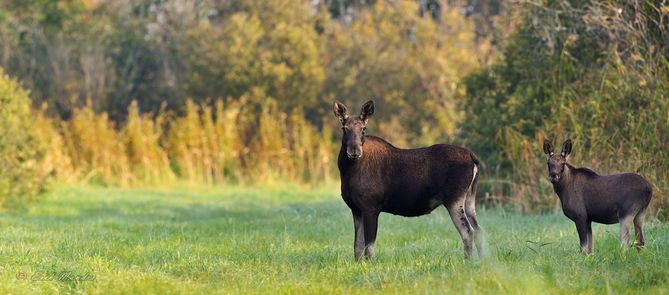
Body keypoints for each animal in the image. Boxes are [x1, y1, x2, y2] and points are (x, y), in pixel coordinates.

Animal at [332, 100, 480, 260]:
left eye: (363, 129)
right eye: (344, 129)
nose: (354, 151)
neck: (346, 171)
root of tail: (473, 157)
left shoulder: (371, 207)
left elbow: (369, 247)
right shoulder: (356, 209)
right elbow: (357, 247)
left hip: (454, 199)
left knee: (468, 231)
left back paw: (468, 261)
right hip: (469, 198)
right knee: (478, 228)